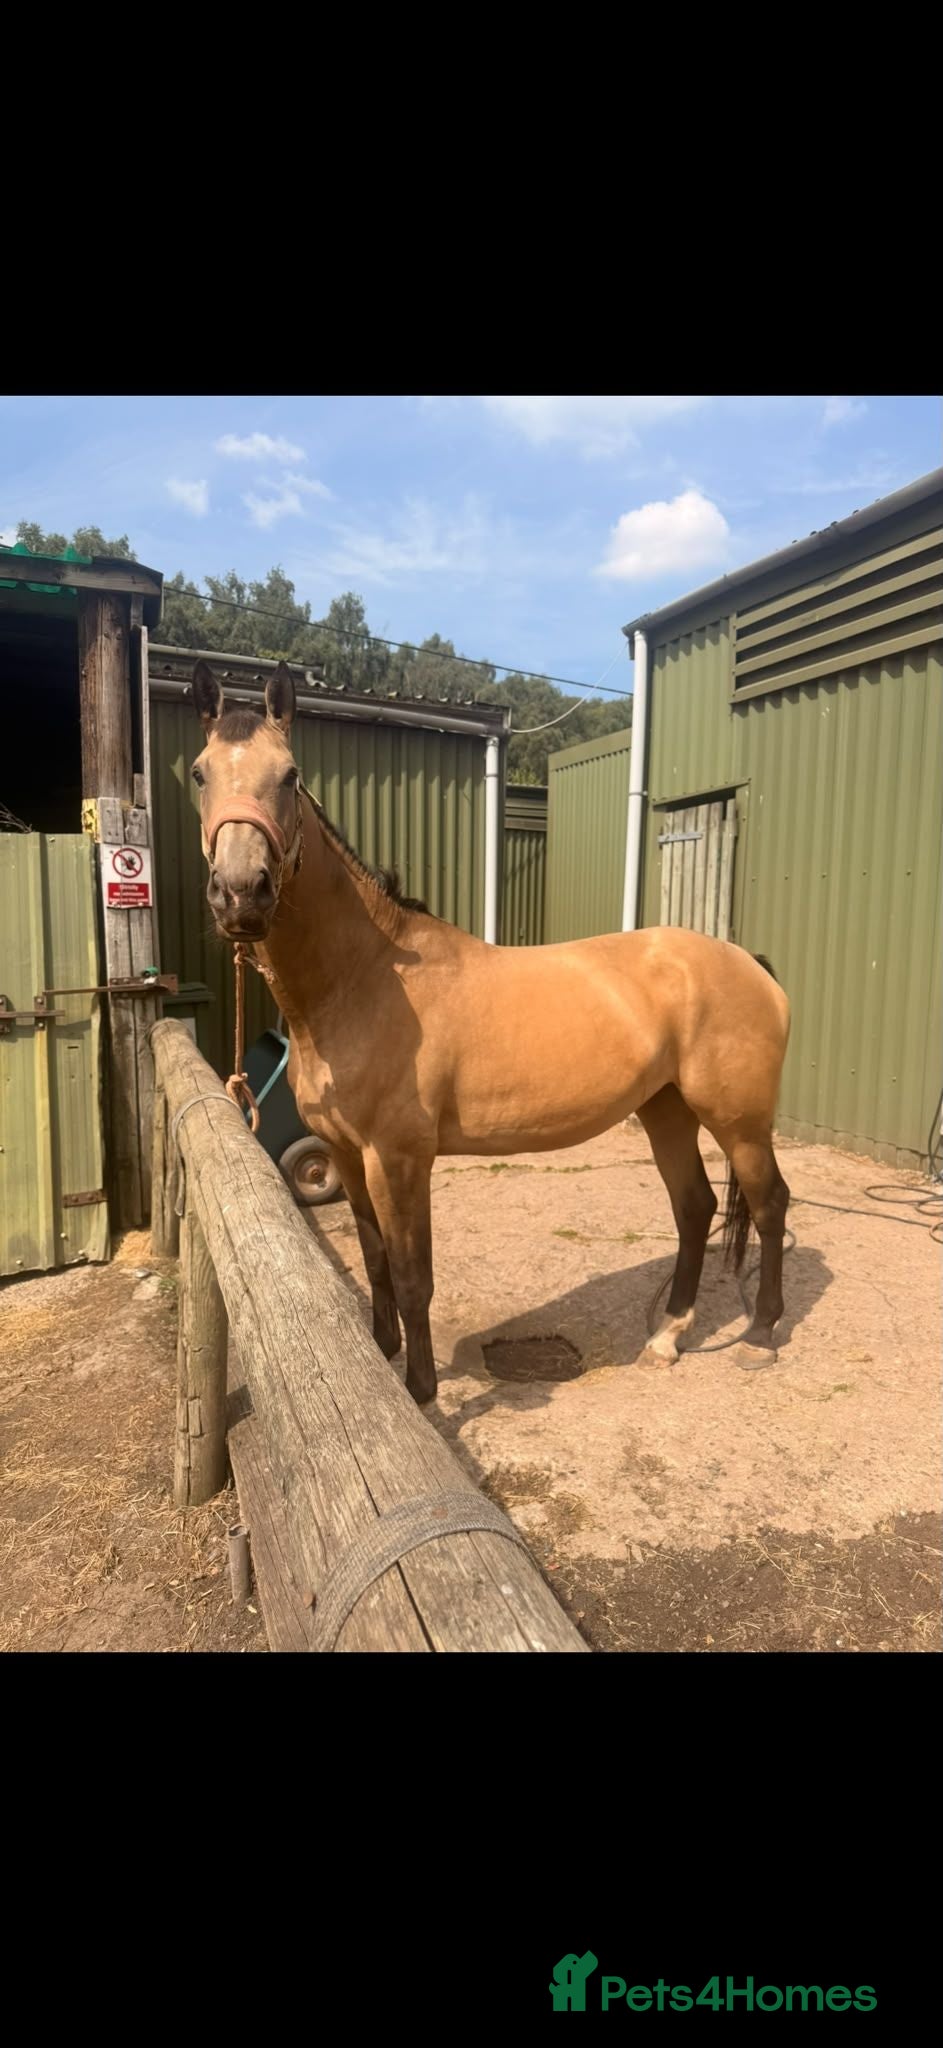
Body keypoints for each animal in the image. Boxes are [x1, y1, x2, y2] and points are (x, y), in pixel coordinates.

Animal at [190, 660, 791, 1406]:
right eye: (199, 773)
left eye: (290, 774)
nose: (241, 893)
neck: (362, 979)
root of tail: (748, 963)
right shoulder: (348, 1155)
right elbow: (374, 1259)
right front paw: (382, 1353)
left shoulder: (399, 1159)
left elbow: (412, 1275)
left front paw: (420, 1391)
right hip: (667, 1109)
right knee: (694, 1206)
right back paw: (667, 1337)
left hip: (738, 1121)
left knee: (768, 1205)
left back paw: (760, 1335)